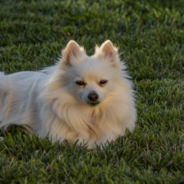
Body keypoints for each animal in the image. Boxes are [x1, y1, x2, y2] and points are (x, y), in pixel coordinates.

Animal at [0, 40, 136, 148]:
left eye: (103, 82)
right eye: (80, 83)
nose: (93, 96)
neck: (90, 113)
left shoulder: (112, 131)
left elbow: (107, 138)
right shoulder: (56, 136)